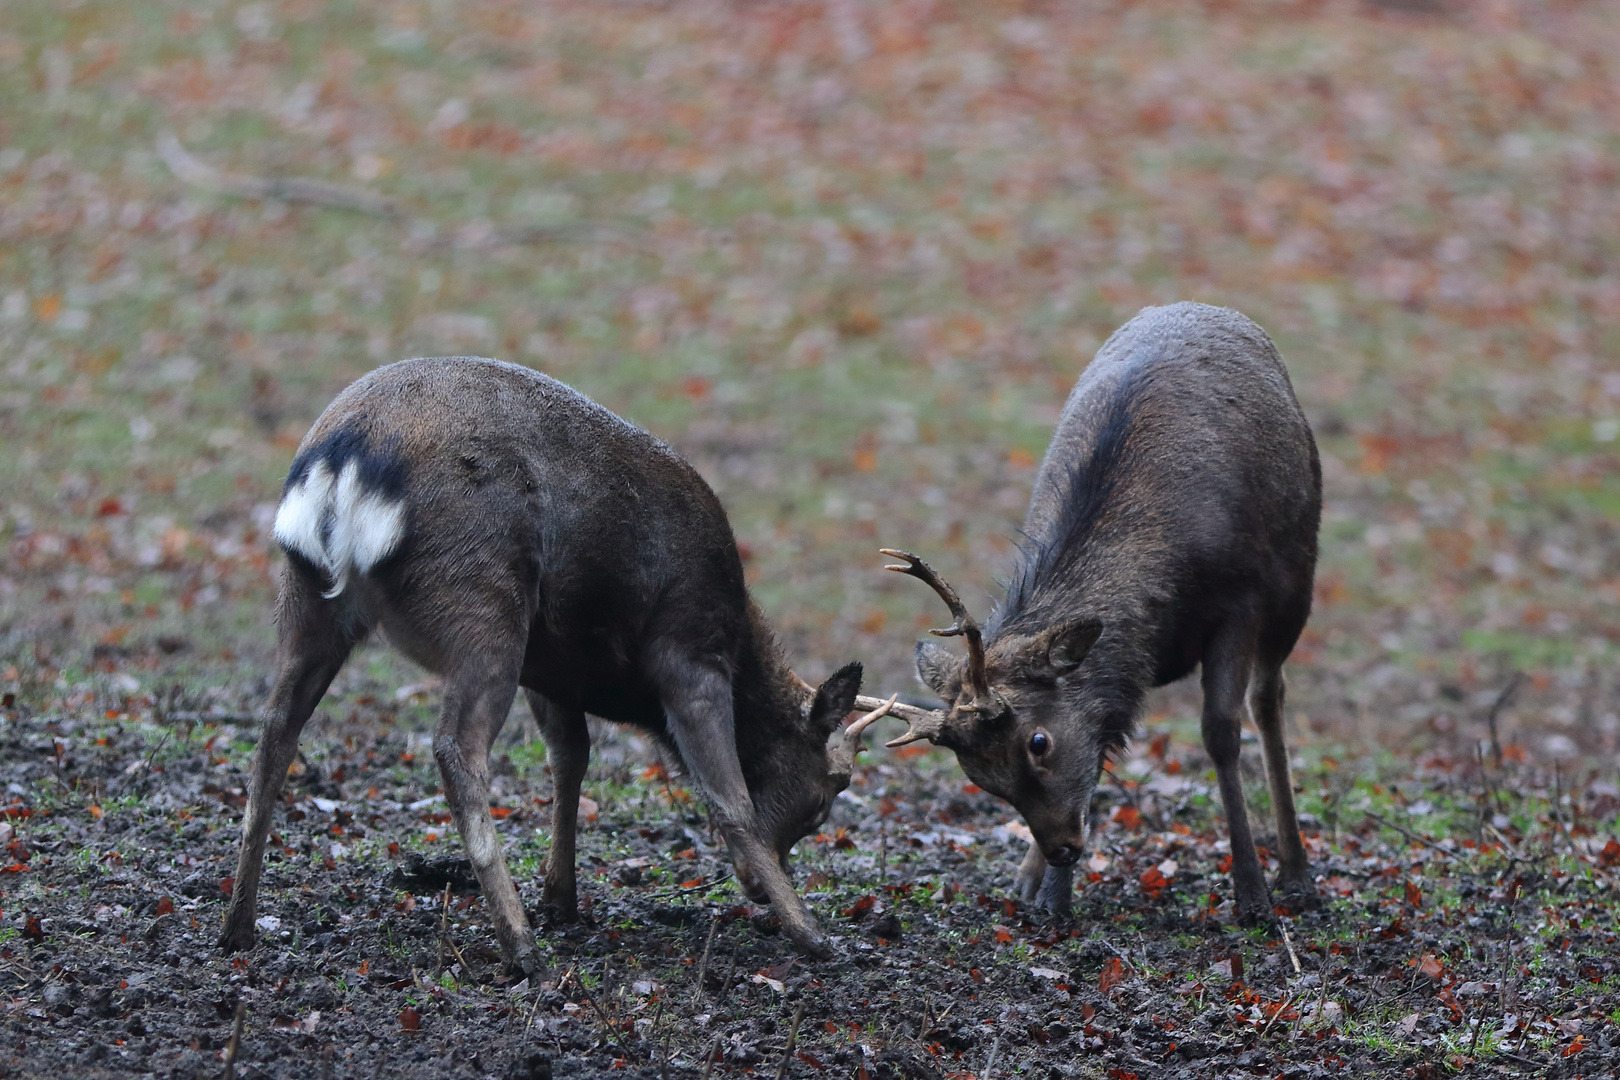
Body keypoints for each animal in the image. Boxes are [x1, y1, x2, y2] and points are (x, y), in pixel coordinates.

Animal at [217, 356, 894, 971]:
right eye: (830, 790)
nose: (757, 886)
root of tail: (343, 460)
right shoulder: (690, 650)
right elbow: (730, 798)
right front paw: (813, 934)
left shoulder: (551, 672)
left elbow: (570, 760)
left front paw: (561, 898)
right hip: (484, 604)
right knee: (456, 746)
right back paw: (519, 948)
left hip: (307, 600)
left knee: (275, 729)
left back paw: (238, 926)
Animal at [861, 306, 1315, 932]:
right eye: (980, 777)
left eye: (1039, 742)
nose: (1061, 850)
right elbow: (1097, 741)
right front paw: (1051, 894)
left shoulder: (1241, 601)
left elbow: (1221, 732)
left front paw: (1251, 894)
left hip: (1296, 584)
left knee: (1269, 700)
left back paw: (1296, 871)